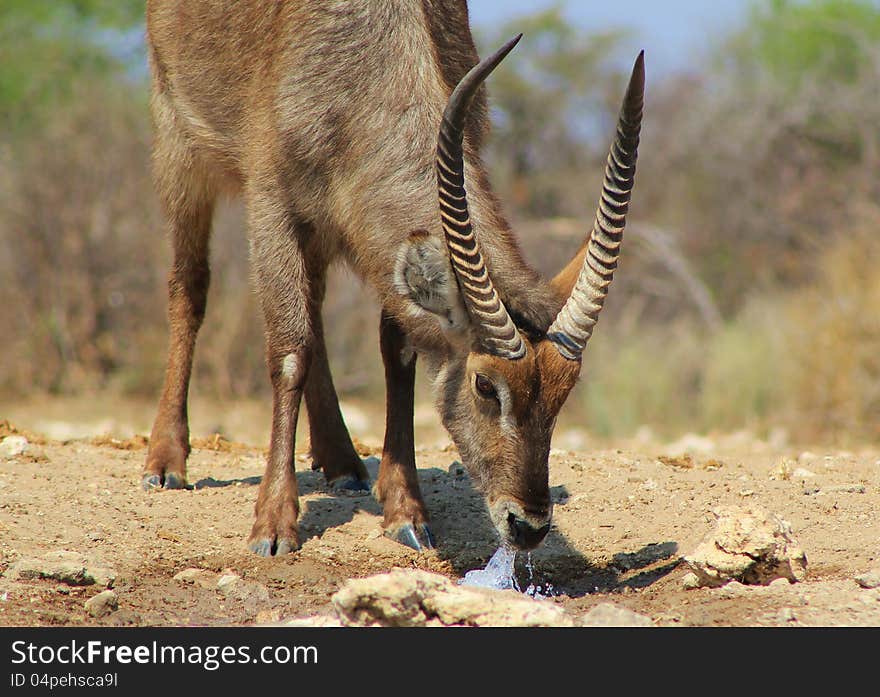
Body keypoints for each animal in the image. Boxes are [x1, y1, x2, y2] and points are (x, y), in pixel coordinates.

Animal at [143, 0, 640, 556]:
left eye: (563, 390)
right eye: (485, 385)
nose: (528, 526)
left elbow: (397, 354)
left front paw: (405, 510)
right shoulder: (271, 204)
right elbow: (290, 354)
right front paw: (273, 524)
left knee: (315, 307)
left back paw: (341, 460)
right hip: (178, 145)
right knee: (190, 289)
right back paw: (165, 460)